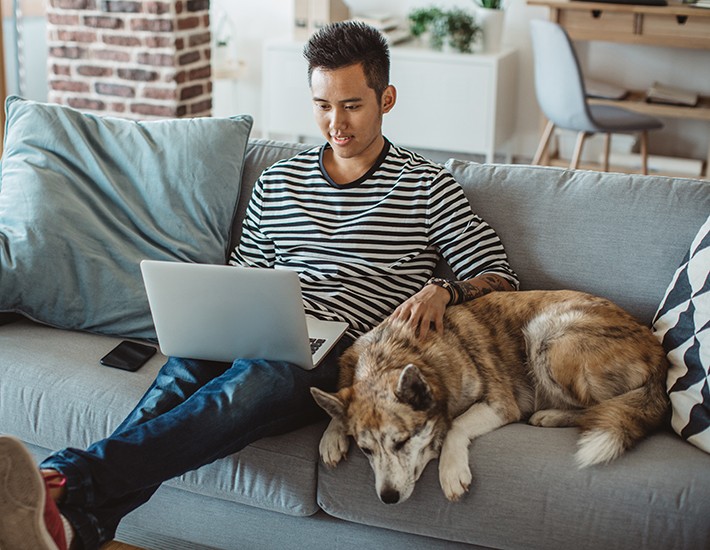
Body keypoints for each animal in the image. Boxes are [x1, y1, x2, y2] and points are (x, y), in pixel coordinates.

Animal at [310, 292, 668, 506]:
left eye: (402, 441)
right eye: (366, 450)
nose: (388, 498)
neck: (395, 354)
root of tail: (657, 351)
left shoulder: (500, 404)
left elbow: (455, 425)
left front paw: (451, 470)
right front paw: (332, 435)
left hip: (547, 333)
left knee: (596, 407)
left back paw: (549, 416)